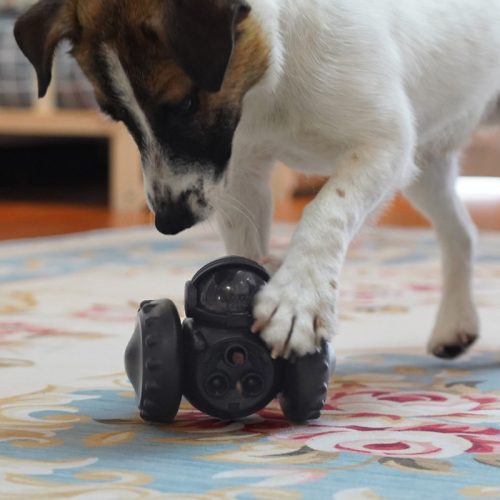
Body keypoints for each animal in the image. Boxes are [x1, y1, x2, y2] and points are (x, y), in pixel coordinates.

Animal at [15, 0, 500, 360]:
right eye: (117, 116)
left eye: (185, 104)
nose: (169, 223)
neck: (271, 87)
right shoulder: (238, 169)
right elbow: (243, 245)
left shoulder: (384, 145)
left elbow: (326, 208)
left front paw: (298, 297)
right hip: (428, 162)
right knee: (461, 233)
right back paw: (456, 322)